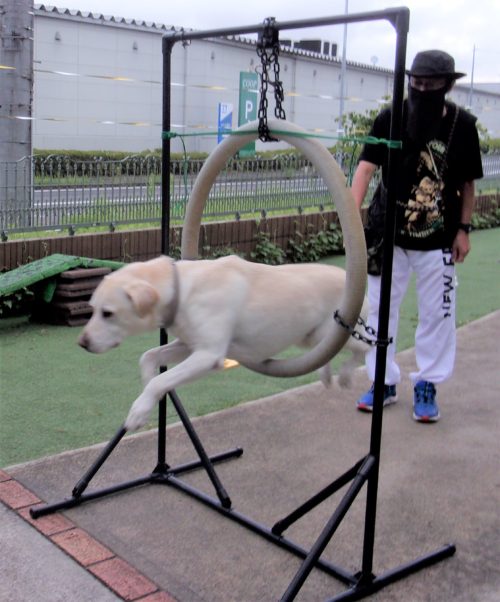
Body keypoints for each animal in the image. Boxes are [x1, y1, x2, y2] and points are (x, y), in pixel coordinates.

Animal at [78, 255, 369, 431]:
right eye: (91, 308)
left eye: (108, 313)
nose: (82, 343)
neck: (182, 290)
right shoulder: (188, 345)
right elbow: (148, 358)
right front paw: (148, 395)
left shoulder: (208, 355)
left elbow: (161, 380)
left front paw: (139, 410)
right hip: (309, 339)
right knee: (327, 354)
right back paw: (326, 374)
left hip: (336, 331)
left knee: (363, 350)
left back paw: (345, 376)